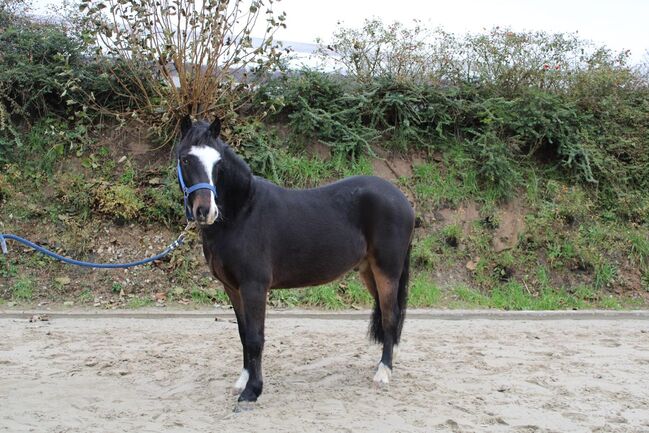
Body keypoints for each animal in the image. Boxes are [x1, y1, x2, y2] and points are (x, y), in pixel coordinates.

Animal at [175, 115, 412, 402]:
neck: (243, 212)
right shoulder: (232, 288)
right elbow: (243, 334)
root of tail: (401, 199)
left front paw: (252, 391)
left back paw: (383, 372)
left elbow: (255, 337)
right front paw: (243, 381)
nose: (205, 211)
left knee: (390, 316)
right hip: (369, 271)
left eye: (218, 163)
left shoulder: (254, 287)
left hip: (387, 270)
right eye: (185, 159)